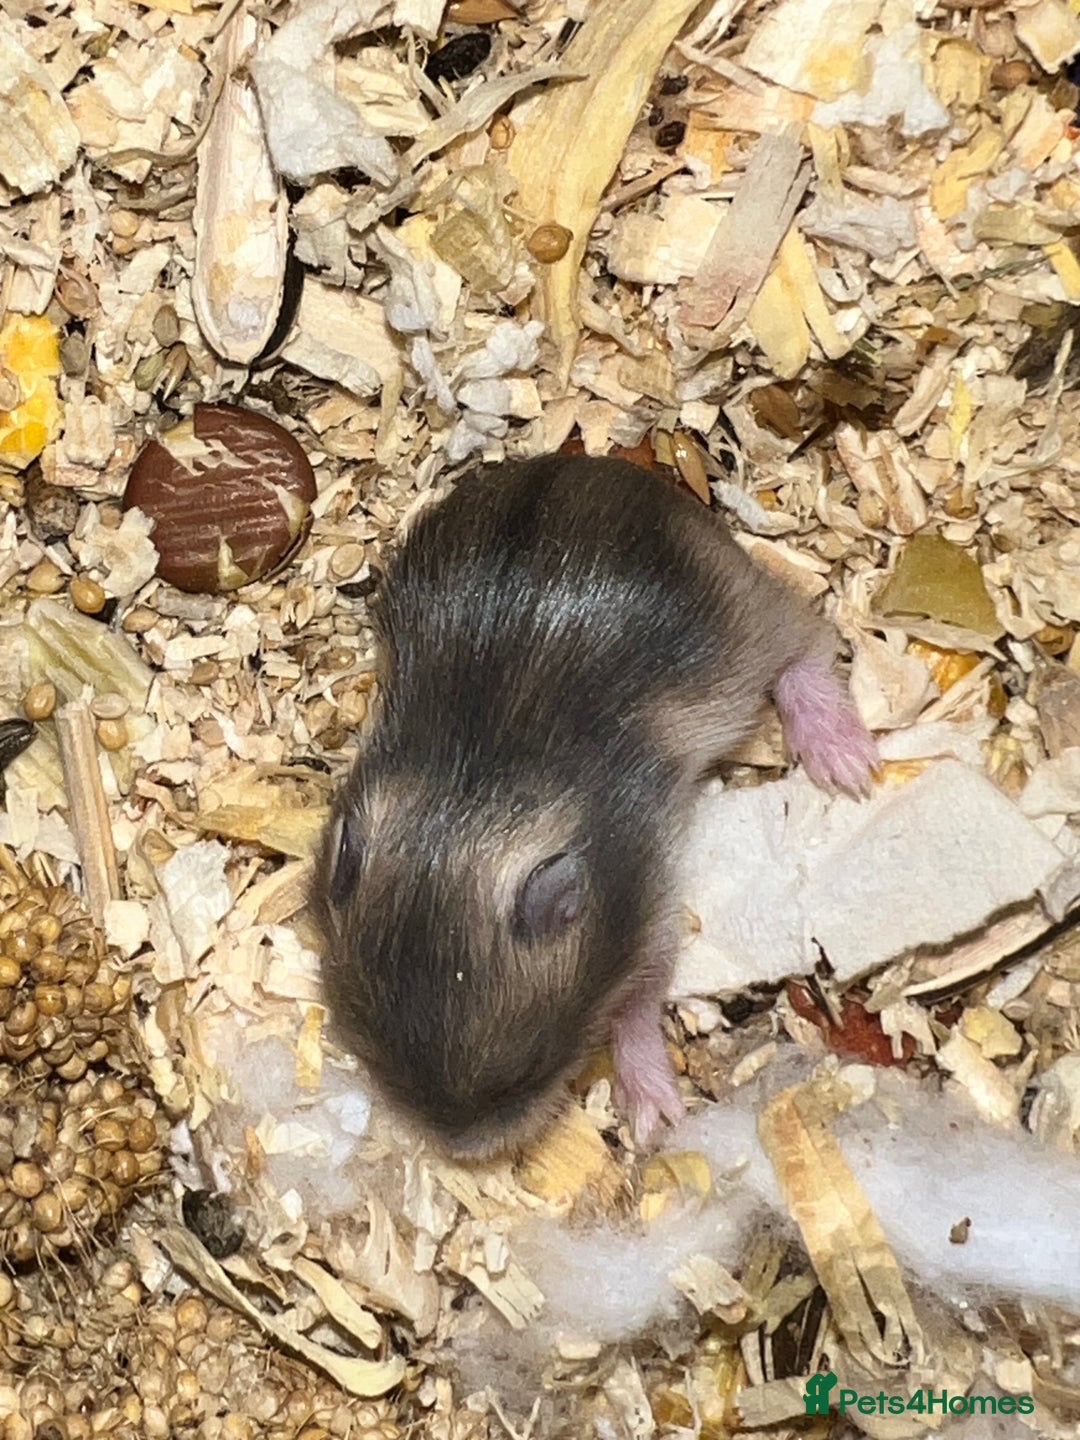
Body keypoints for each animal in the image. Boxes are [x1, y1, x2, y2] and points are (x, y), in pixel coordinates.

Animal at [311, 454, 877, 1158]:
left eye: (529, 1071)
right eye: (369, 1051)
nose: (467, 1153)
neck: (471, 803)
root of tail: (599, 465)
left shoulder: (651, 923)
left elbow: (636, 1006)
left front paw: (657, 1120)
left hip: (742, 630)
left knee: (806, 636)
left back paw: (849, 765)